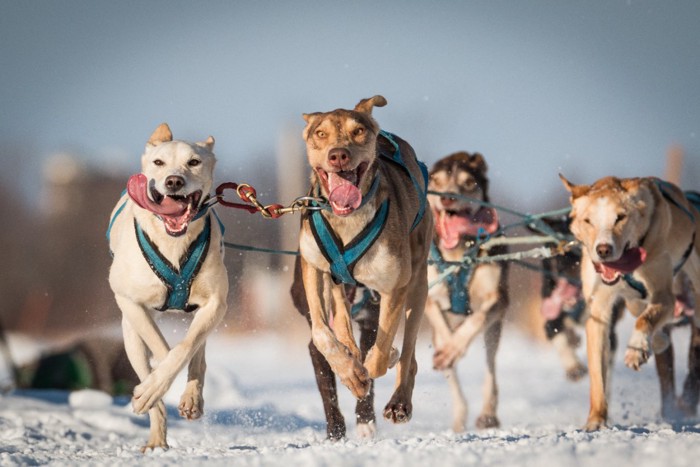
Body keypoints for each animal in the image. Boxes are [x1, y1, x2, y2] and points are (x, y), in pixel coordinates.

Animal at [106, 122, 228, 452]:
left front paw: (188, 394)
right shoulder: (130, 301)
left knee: (198, 353)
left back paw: (191, 396)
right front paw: (153, 387)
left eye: (194, 162)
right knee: (149, 364)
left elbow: (186, 348)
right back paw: (156, 436)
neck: (173, 241)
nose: (173, 181)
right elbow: (164, 350)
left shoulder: (215, 303)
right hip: (130, 333)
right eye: (158, 163)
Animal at [296, 95, 432, 424]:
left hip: (418, 284)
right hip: (338, 281)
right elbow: (322, 332)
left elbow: (380, 356)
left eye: (358, 131)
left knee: (408, 353)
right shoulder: (314, 267)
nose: (338, 155)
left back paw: (399, 400)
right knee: (343, 324)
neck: (348, 220)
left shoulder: (395, 286)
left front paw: (365, 371)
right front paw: (349, 370)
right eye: (321, 133)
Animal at [424, 152, 506, 434]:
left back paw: (488, 415)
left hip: (495, 331)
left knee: (491, 369)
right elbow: (441, 326)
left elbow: (477, 319)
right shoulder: (429, 296)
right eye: (436, 181)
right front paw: (449, 349)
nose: (447, 197)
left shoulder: (498, 299)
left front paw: (455, 347)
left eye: (468, 182)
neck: (458, 254)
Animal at [560, 176, 700, 432]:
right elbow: (597, 374)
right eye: (588, 220)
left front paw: (636, 349)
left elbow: (647, 319)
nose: (603, 250)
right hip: (635, 300)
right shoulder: (598, 312)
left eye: (620, 217)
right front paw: (596, 419)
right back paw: (658, 341)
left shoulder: (665, 296)